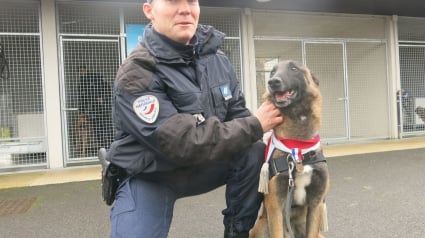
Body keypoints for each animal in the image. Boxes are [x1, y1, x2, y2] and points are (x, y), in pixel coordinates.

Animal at [250, 60, 330, 237]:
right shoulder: (275, 205)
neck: (298, 146)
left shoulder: (316, 204)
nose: (272, 82)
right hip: (260, 227)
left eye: (294, 68)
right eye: (272, 72)